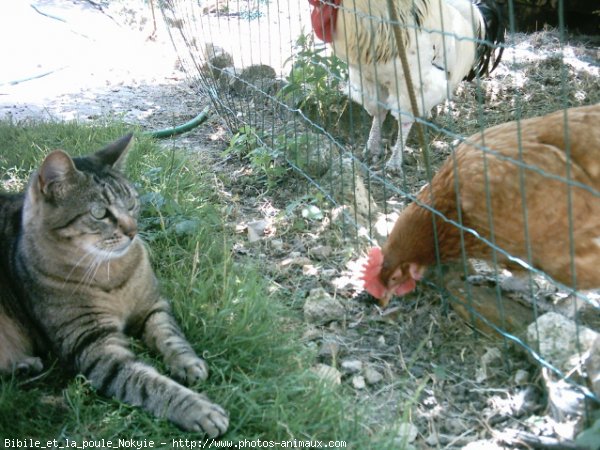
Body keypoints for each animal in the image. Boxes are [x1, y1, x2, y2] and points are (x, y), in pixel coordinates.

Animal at [0, 134, 229, 436]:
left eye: (131, 202)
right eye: (99, 213)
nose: (133, 231)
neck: (110, 272)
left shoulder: (152, 307)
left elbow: (171, 336)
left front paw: (188, 363)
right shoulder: (93, 345)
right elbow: (147, 383)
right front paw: (197, 408)